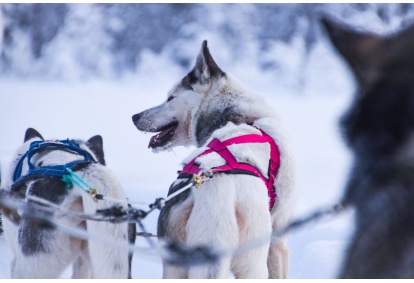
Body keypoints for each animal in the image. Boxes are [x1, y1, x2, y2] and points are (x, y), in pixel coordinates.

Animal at [131, 41, 296, 278]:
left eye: (170, 98)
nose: (134, 117)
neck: (241, 117)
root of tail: (217, 190)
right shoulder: (278, 241)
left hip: (175, 264)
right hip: (253, 261)